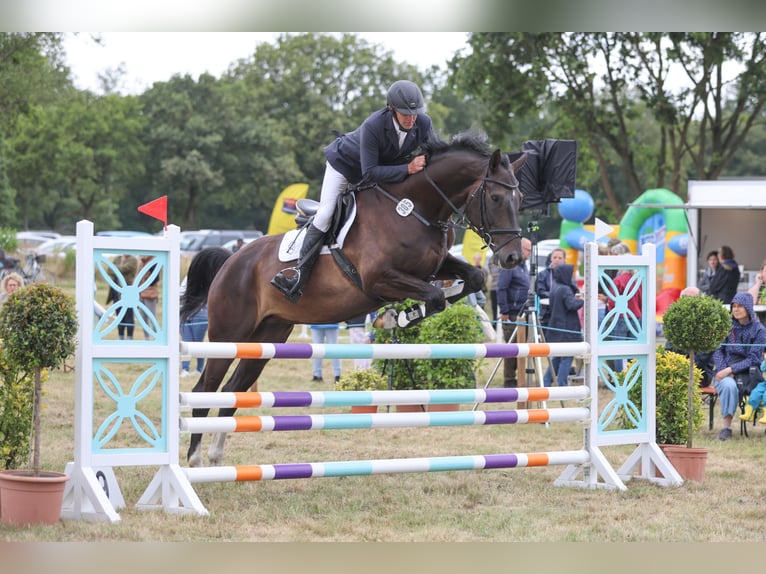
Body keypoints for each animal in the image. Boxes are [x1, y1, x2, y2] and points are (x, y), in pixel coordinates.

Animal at [181, 132, 528, 468]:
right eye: (495, 198)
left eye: (520, 199)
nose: (512, 257)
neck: (413, 208)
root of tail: (231, 260)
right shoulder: (378, 279)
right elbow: (434, 295)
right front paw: (405, 316)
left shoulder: (436, 265)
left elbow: (472, 278)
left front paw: (414, 312)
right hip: (229, 334)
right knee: (205, 389)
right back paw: (195, 460)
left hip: (267, 336)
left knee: (232, 391)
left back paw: (216, 458)